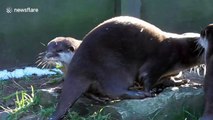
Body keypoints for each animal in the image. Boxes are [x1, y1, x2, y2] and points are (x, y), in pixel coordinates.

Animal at [49, 16, 203, 119]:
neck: (180, 52)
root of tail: (78, 67)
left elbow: (168, 80)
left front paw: (180, 81)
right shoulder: (160, 59)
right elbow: (147, 77)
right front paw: (149, 92)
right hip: (114, 67)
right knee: (114, 89)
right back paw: (137, 94)